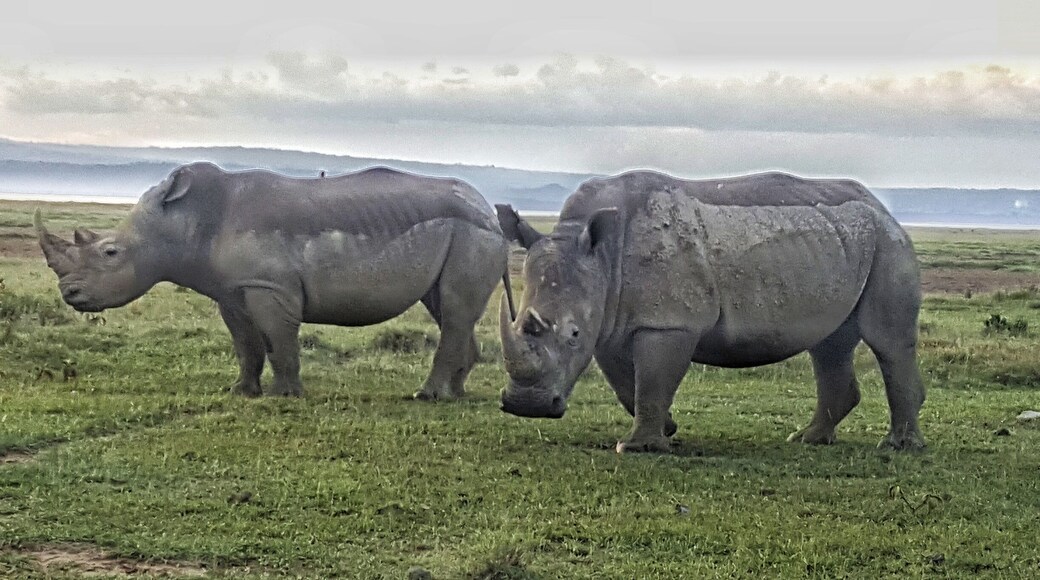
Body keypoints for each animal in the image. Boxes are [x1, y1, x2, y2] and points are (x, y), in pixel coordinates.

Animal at [36, 162, 510, 399]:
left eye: (110, 253)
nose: (69, 294)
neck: (184, 221)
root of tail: (491, 213)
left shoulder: (270, 286)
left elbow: (280, 341)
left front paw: (287, 395)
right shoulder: (232, 290)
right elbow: (245, 344)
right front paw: (242, 392)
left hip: (473, 234)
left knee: (454, 308)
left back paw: (426, 397)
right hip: (463, 233)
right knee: (448, 309)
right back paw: (456, 395)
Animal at [496, 171, 926, 453]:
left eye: (572, 335)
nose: (526, 406)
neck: (599, 255)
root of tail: (882, 208)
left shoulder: (669, 323)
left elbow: (652, 379)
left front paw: (637, 447)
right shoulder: (609, 322)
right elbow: (626, 384)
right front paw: (667, 428)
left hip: (888, 243)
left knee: (887, 342)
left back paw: (897, 447)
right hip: (841, 244)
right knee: (829, 345)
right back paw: (809, 440)